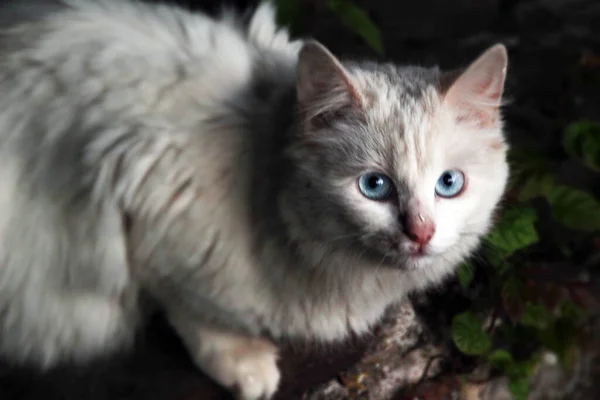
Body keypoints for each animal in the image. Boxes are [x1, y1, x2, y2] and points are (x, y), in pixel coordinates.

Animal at [0, 1, 508, 398]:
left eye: (449, 183)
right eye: (374, 186)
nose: (421, 233)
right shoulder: (144, 201)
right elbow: (194, 310)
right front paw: (245, 364)